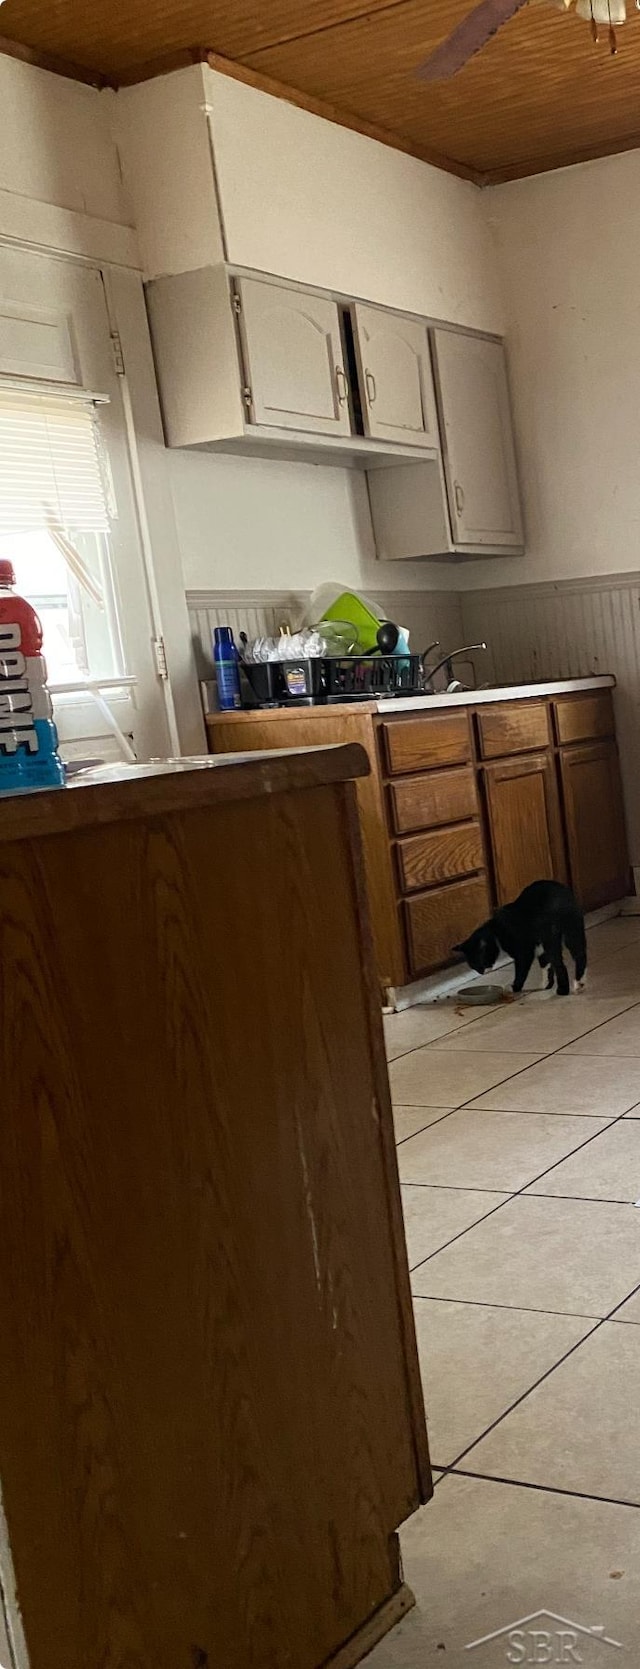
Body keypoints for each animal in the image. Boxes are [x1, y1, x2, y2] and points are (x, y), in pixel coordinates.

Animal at [454, 881, 588, 994]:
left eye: (478, 963)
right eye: (473, 966)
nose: (481, 972)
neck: (496, 931)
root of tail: (562, 897)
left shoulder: (523, 950)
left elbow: (521, 970)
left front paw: (514, 987)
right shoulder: (539, 948)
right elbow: (545, 965)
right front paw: (546, 984)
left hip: (551, 936)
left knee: (559, 963)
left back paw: (563, 990)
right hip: (574, 928)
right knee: (579, 954)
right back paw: (579, 983)